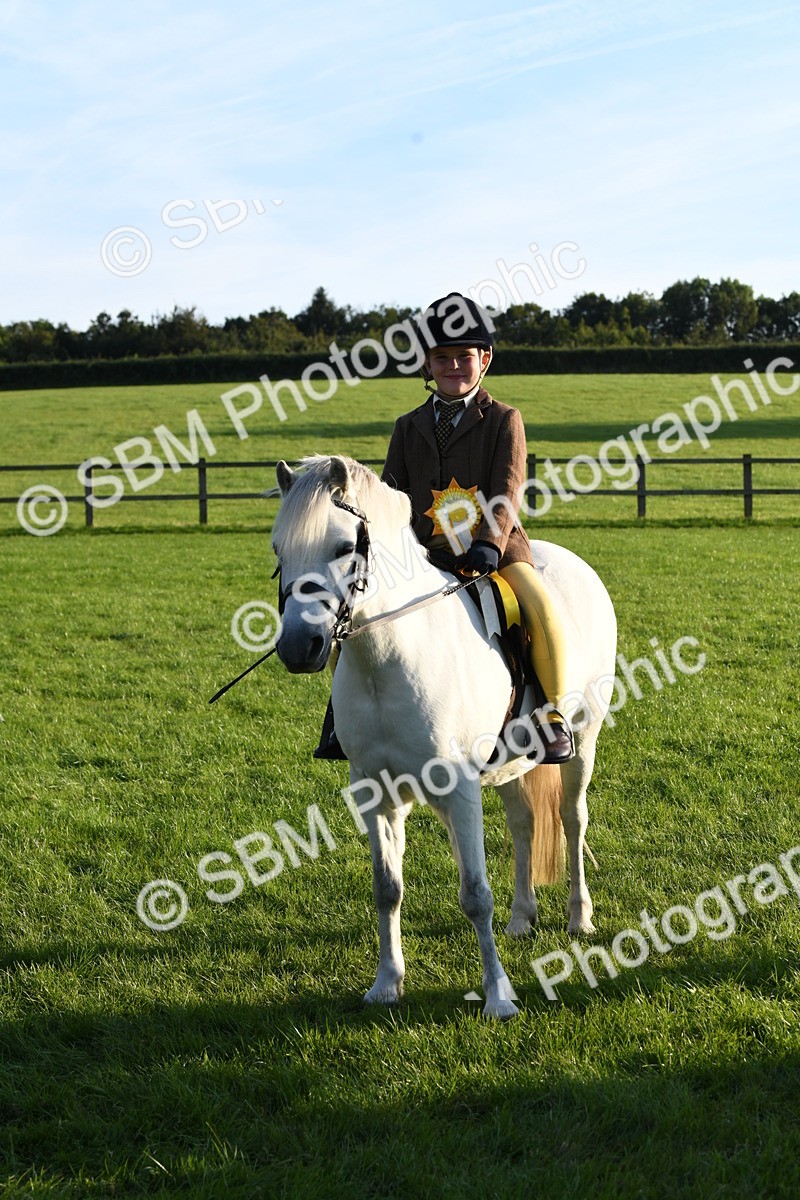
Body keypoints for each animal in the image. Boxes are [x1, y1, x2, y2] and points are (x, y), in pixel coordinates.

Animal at [271, 454, 617, 1019]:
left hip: (583, 740)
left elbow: (475, 893)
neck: (388, 658)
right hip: (508, 763)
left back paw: (578, 917)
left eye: (344, 548)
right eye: (279, 550)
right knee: (523, 824)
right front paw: (387, 984)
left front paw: (498, 997)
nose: (300, 647)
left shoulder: (458, 789)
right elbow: (387, 888)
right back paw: (522, 917)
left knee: (572, 818)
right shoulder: (375, 791)